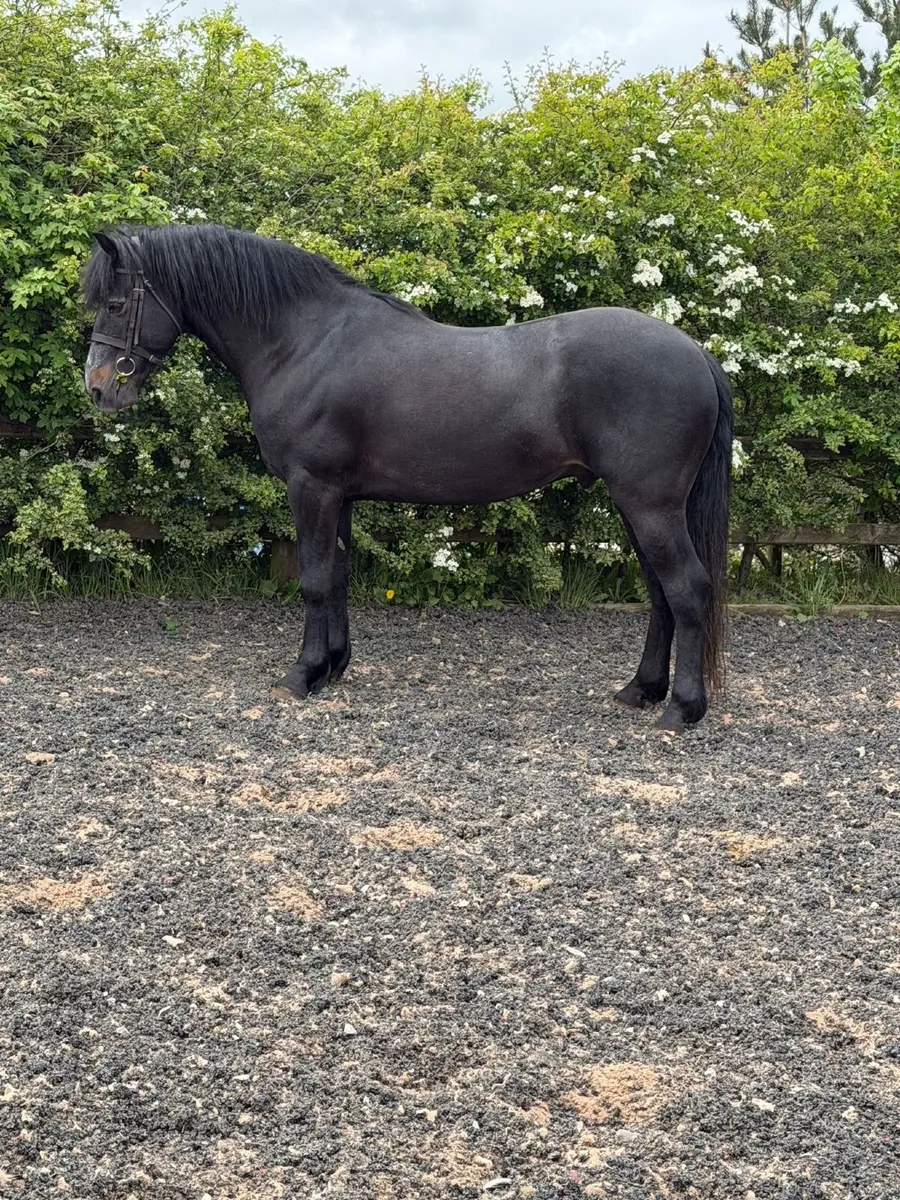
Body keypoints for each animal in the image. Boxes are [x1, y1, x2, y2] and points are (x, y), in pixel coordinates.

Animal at [82, 223, 732, 731]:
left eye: (115, 304)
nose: (99, 388)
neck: (305, 342)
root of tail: (697, 353)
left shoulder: (311, 487)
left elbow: (314, 580)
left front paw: (300, 675)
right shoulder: (338, 495)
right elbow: (337, 577)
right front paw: (333, 667)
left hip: (649, 506)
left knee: (687, 590)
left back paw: (681, 709)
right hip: (637, 507)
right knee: (659, 594)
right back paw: (640, 691)